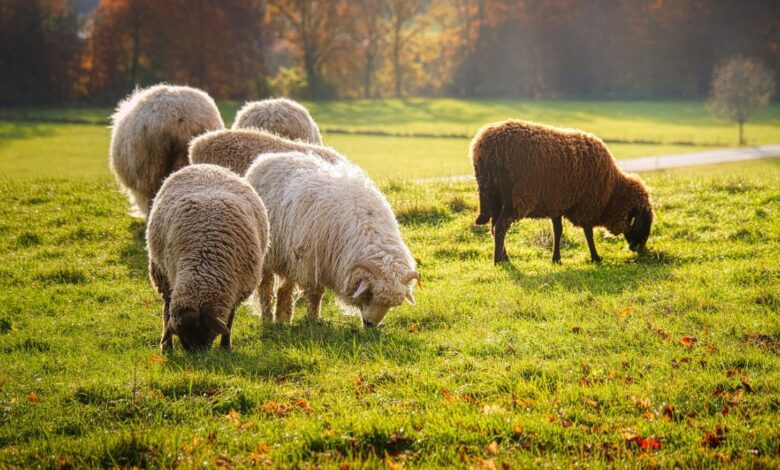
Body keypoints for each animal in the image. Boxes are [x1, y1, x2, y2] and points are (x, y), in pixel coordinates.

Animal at [148, 163, 270, 350]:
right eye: (183, 337)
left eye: (201, 329)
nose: (198, 354)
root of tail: (205, 165)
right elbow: (168, 316)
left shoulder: (235, 291)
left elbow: (229, 320)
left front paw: (226, 347)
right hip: (161, 273)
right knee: (166, 308)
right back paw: (167, 346)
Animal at [245, 151, 420, 326]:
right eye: (370, 294)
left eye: (391, 305)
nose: (370, 325)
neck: (367, 228)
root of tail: (266, 158)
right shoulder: (313, 264)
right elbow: (315, 294)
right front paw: (314, 319)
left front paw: (314, 318)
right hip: (269, 255)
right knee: (266, 288)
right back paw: (268, 319)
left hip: (289, 256)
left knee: (284, 289)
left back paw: (284, 319)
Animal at [472, 119, 656, 264]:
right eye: (644, 222)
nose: (639, 249)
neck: (612, 192)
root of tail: (483, 147)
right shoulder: (587, 205)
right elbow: (588, 232)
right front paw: (596, 257)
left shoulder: (557, 203)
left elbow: (558, 230)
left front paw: (556, 259)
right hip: (518, 198)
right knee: (501, 226)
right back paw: (498, 261)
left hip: (494, 196)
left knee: (494, 226)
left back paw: (504, 257)